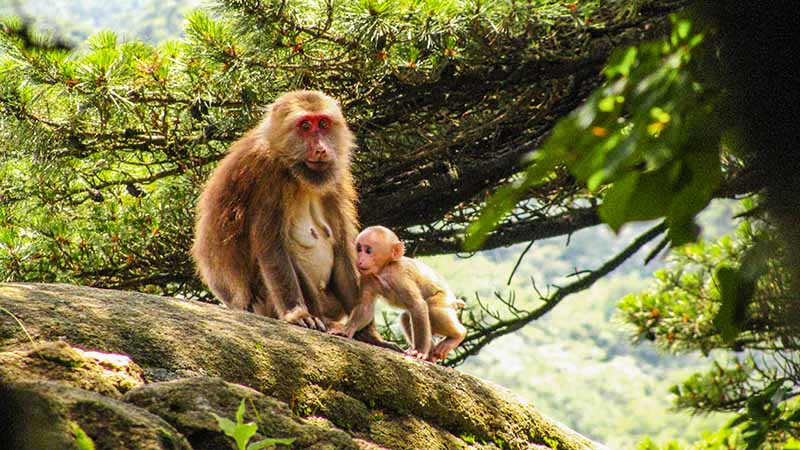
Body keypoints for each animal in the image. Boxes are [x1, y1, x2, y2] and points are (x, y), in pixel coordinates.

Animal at [191, 90, 392, 349]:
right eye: (305, 126)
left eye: (323, 124)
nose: (320, 149)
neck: (295, 172)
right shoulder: (268, 177)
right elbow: (271, 248)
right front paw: (297, 314)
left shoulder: (335, 181)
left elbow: (342, 248)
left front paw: (369, 335)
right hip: (263, 305)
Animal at [331, 226, 467, 362]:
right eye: (359, 249)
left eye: (368, 250)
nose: (359, 259)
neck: (384, 270)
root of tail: (454, 300)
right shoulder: (367, 277)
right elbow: (365, 306)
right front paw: (346, 330)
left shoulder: (399, 277)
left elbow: (418, 305)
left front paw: (419, 352)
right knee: (407, 318)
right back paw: (430, 356)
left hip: (444, 300)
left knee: (432, 309)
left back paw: (457, 335)